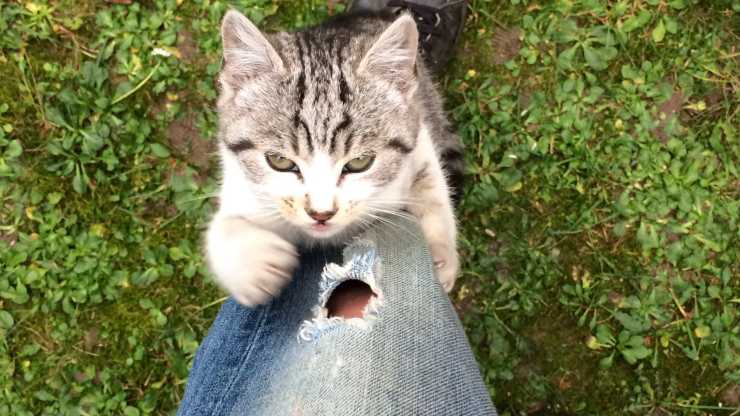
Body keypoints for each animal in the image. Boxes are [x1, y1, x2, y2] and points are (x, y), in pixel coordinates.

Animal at [206, 9, 465, 306]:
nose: (321, 213)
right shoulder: (242, 187)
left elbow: (431, 187)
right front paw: (258, 264)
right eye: (279, 161)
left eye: (360, 163)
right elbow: (221, 229)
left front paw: (439, 255)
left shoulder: (419, 142)